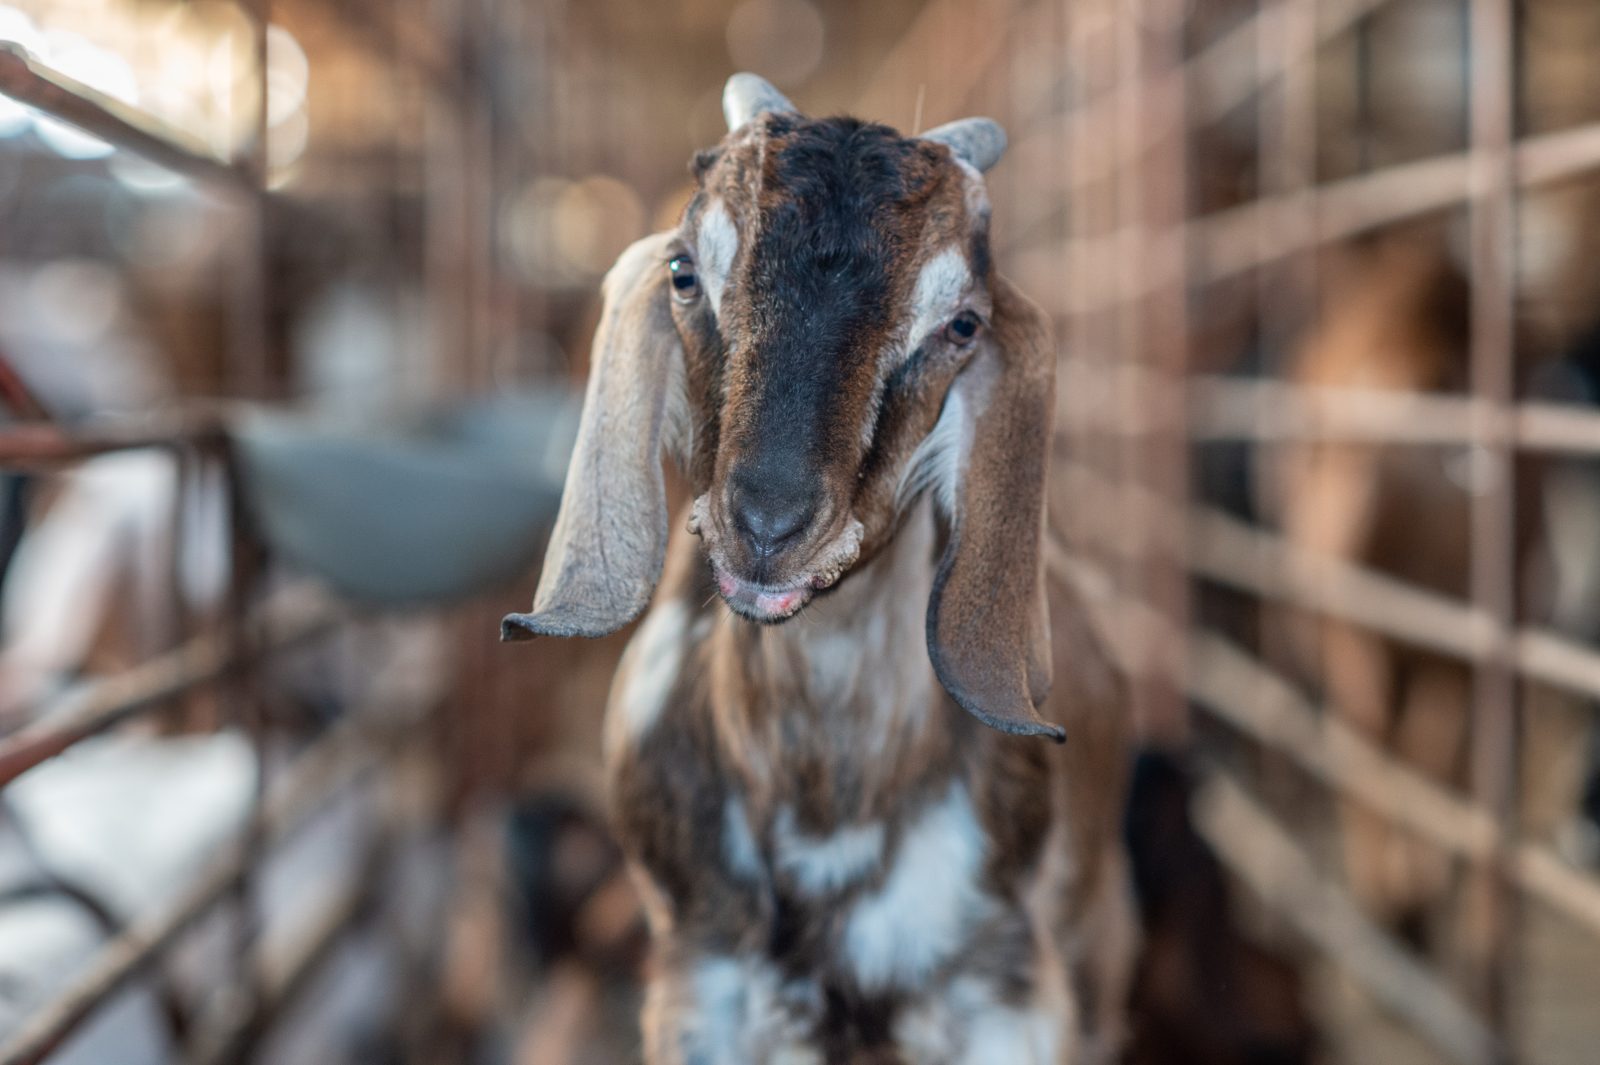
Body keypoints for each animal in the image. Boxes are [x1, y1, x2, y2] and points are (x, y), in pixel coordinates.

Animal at [505, 72, 1132, 1055]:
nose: (768, 523)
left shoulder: (1007, 991)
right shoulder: (700, 978)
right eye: (684, 272)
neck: (826, 794)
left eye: (962, 323)